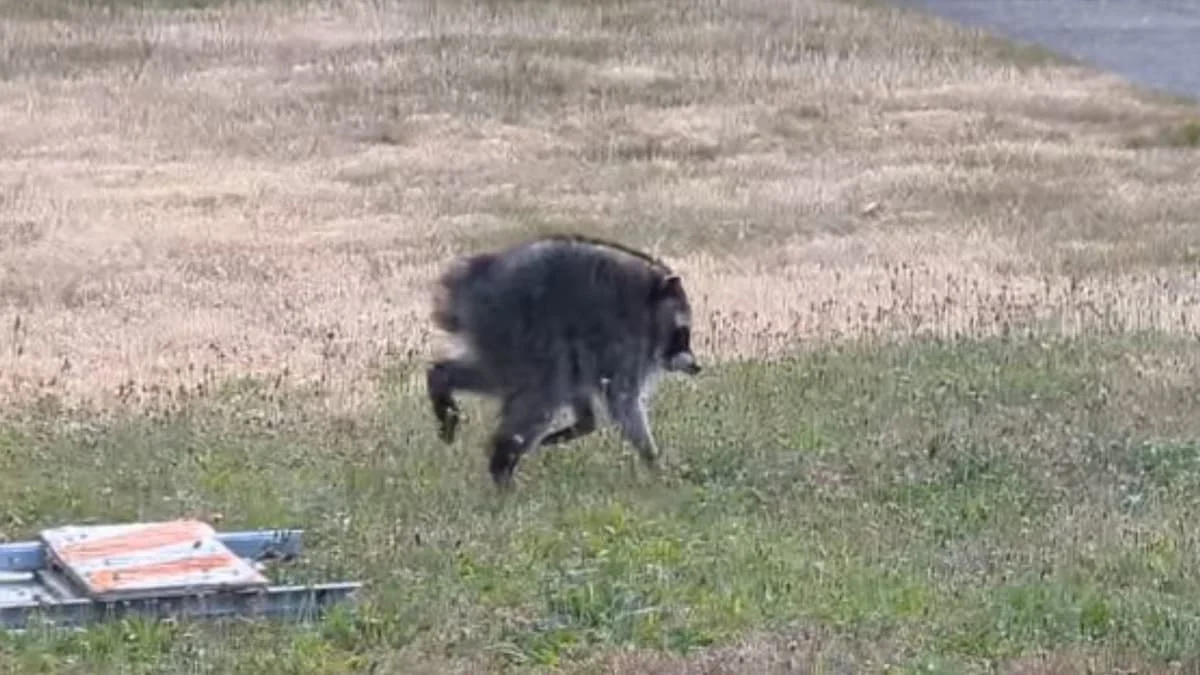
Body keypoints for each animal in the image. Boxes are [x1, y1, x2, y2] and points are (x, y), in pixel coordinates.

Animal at [425, 233, 702, 488]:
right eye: (682, 333)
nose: (696, 366)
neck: (650, 302)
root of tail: (473, 279)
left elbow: (584, 390)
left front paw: (583, 423)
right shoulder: (625, 342)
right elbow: (622, 402)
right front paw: (653, 460)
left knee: (539, 378)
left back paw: (442, 379)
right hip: (513, 322)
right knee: (541, 385)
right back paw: (502, 458)